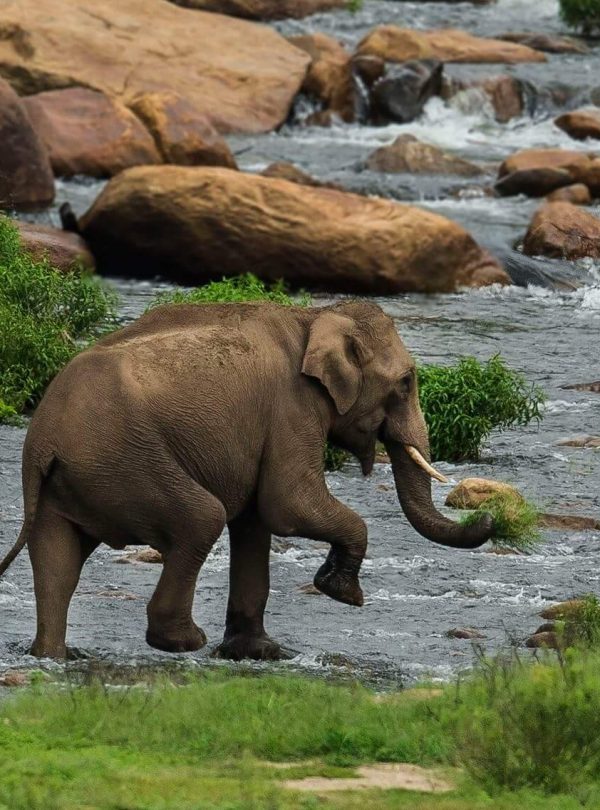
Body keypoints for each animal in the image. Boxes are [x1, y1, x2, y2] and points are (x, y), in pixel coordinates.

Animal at [0, 300, 492, 660]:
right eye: (407, 382)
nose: (486, 517)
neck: (313, 317)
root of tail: (43, 438)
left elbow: (257, 523)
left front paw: (266, 654)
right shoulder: (292, 409)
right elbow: (288, 505)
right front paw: (342, 593)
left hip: (66, 484)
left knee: (58, 564)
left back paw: (53, 656)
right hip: (127, 462)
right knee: (201, 519)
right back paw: (184, 642)